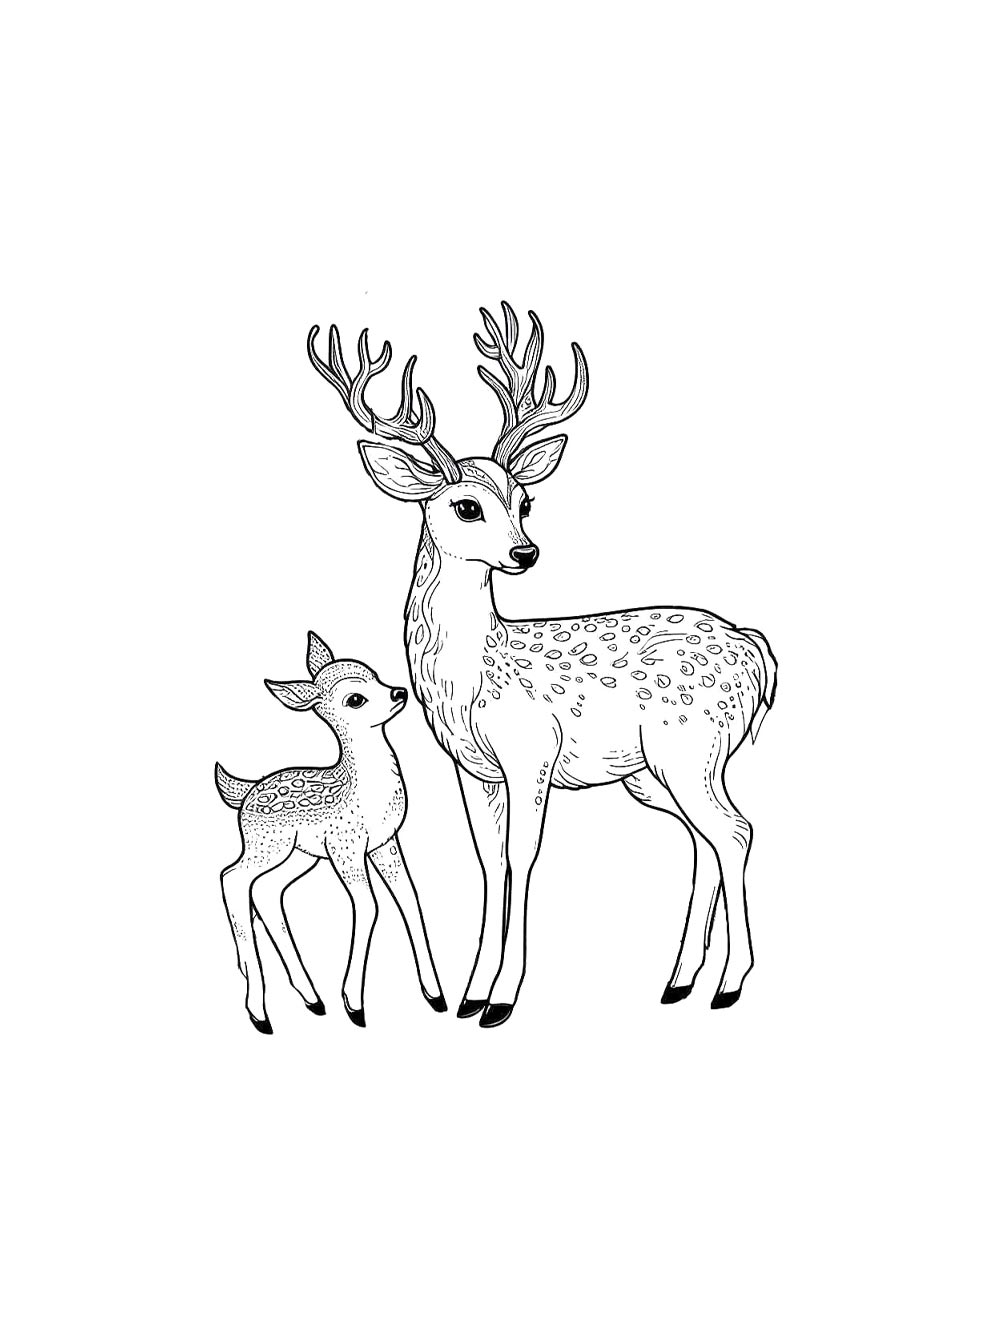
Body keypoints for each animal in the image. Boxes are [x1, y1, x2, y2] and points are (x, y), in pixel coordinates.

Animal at [215, 632, 446, 1033]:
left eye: (376, 676)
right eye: (355, 699)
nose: (399, 692)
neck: (363, 791)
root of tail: (243, 793)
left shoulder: (385, 843)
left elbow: (409, 899)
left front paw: (435, 995)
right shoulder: (346, 847)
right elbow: (369, 905)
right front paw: (354, 1005)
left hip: (299, 855)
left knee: (266, 891)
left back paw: (311, 999)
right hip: (268, 845)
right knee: (232, 877)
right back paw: (259, 1010)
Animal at [307, 305, 778, 1028]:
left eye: (524, 500)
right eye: (466, 505)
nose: (525, 552)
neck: (472, 678)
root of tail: (753, 648)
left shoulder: (531, 753)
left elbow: (521, 856)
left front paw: (502, 997)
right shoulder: (474, 769)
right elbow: (486, 860)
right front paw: (470, 992)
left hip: (690, 745)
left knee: (736, 831)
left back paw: (728, 983)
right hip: (657, 772)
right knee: (707, 839)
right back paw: (679, 980)